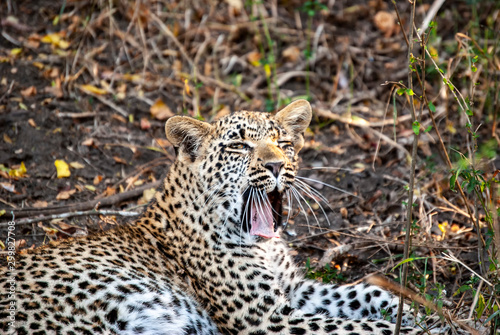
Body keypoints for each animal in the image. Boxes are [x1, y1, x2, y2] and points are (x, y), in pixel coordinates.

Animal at [0, 100, 438, 335]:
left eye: (283, 142)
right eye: (240, 147)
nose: (277, 165)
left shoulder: (293, 291)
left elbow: (362, 293)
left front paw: (419, 311)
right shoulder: (268, 319)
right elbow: (360, 326)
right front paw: (421, 326)